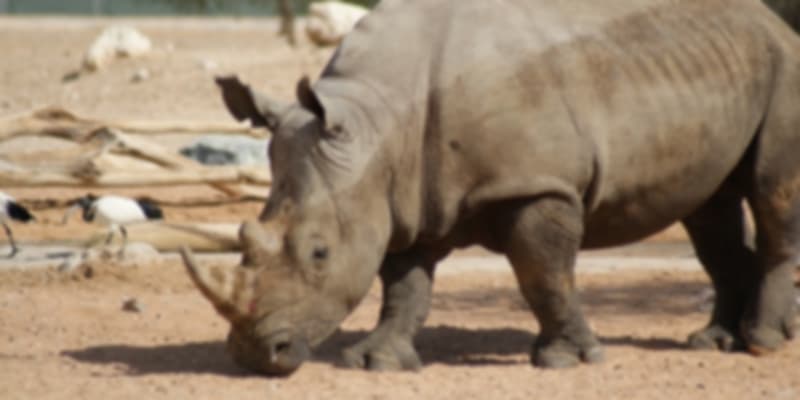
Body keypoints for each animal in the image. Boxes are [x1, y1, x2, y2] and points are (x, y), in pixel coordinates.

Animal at [181, 0, 800, 376]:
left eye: (318, 253)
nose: (255, 355)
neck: (377, 126)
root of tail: (769, 20)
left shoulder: (535, 185)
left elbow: (543, 275)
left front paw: (566, 359)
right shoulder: (400, 196)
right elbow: (403, 286)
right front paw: (377, 362)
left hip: (784, 63)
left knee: (770, 192)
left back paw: (764, 342)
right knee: (710, 211)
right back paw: (715, 341)